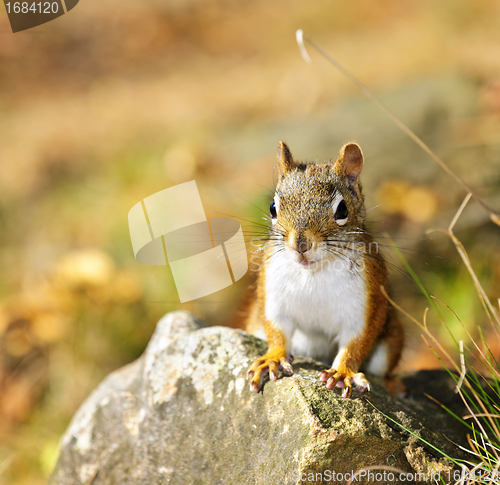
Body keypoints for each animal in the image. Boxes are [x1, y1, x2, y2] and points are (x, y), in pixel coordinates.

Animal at [248, 141, 404, 398]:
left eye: (342, 210)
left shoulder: (367, 302)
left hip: (389, 343)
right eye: (272, 208)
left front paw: (342, 372)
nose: (301, 245)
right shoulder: (272, 292)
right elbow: (277, 328)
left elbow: (356, 342)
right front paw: (273, 358)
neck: (313, 273)